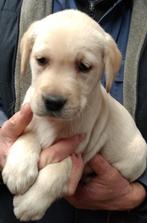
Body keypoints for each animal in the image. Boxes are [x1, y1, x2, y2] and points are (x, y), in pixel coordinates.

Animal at [2, 9, 147, 221]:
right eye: (41, 60)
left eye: (84, 66)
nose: (53, 101)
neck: (53, 122)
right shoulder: (30, 116)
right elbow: (28, 134)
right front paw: (18, 169)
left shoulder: (79, 151)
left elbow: (63, 166)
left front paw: (30, 203)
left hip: (136, 156)